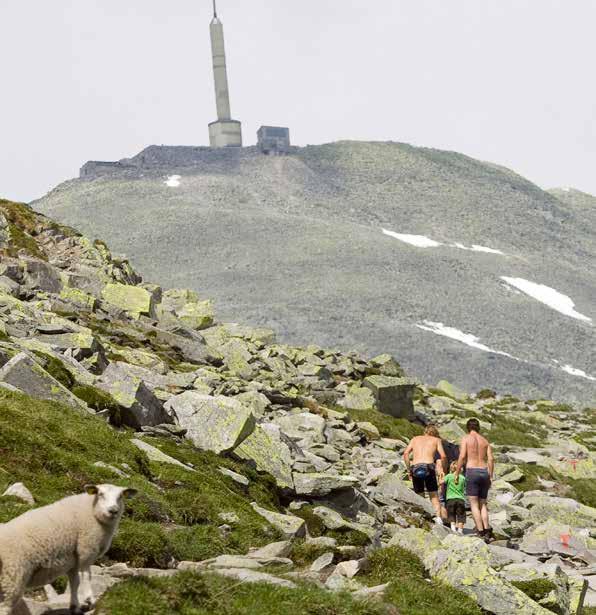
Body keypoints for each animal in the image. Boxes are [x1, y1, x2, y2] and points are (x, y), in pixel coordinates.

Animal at [0, 484, 136, 612]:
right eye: (100, 494)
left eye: (120, 496)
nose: (113, 510)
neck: (92, 511)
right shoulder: (86, 548)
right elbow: (87, 575)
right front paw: (89, 599)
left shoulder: (73, 559)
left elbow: (74, 582)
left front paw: (74, 606)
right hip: (11, 577)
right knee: (5, 605)